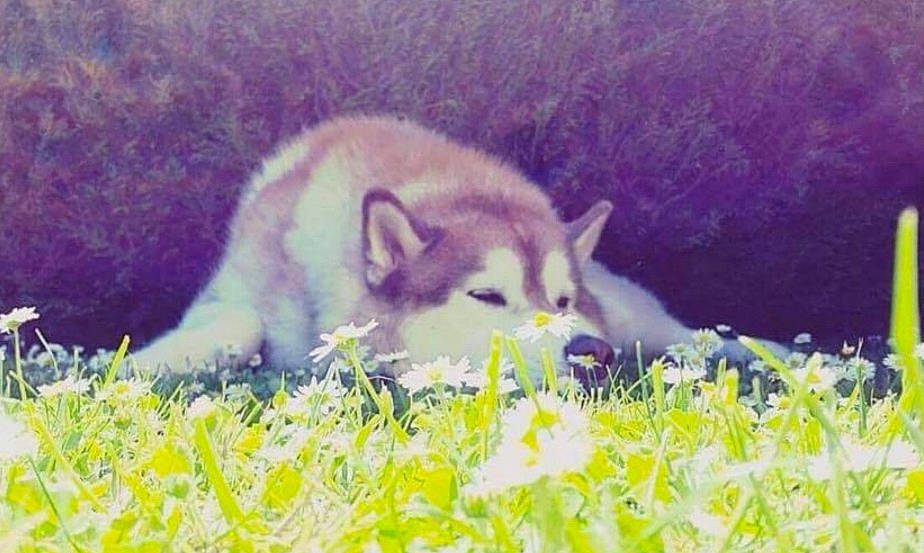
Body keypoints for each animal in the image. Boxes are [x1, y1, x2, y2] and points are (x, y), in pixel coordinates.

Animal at [132, 115, 782, 386]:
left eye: (563, 301)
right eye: (487, 296)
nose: (588, 352)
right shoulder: (235, 292)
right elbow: (239, 324)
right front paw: (133, 365)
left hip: (628, 315)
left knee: (682, 334)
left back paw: (767, 351)